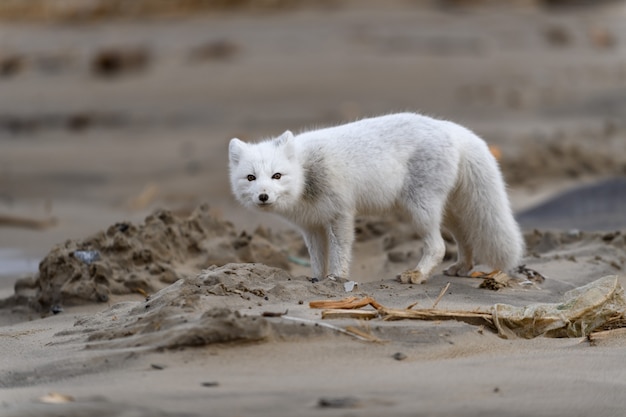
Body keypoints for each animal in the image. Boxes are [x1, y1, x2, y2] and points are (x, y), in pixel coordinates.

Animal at [228, 113, 520, 282]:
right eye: (251, 178)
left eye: (277, 176)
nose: (263, 196)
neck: (305, 172)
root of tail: (451, 128)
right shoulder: (311, 225)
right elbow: (317, 257)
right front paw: (316, 279)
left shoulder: (340, 215)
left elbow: (340, 251)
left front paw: (336, 279)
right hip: (443, 211)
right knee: (464, 236)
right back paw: (462, 267)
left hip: (419, 209)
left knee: (438, 246)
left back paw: (417, 274)